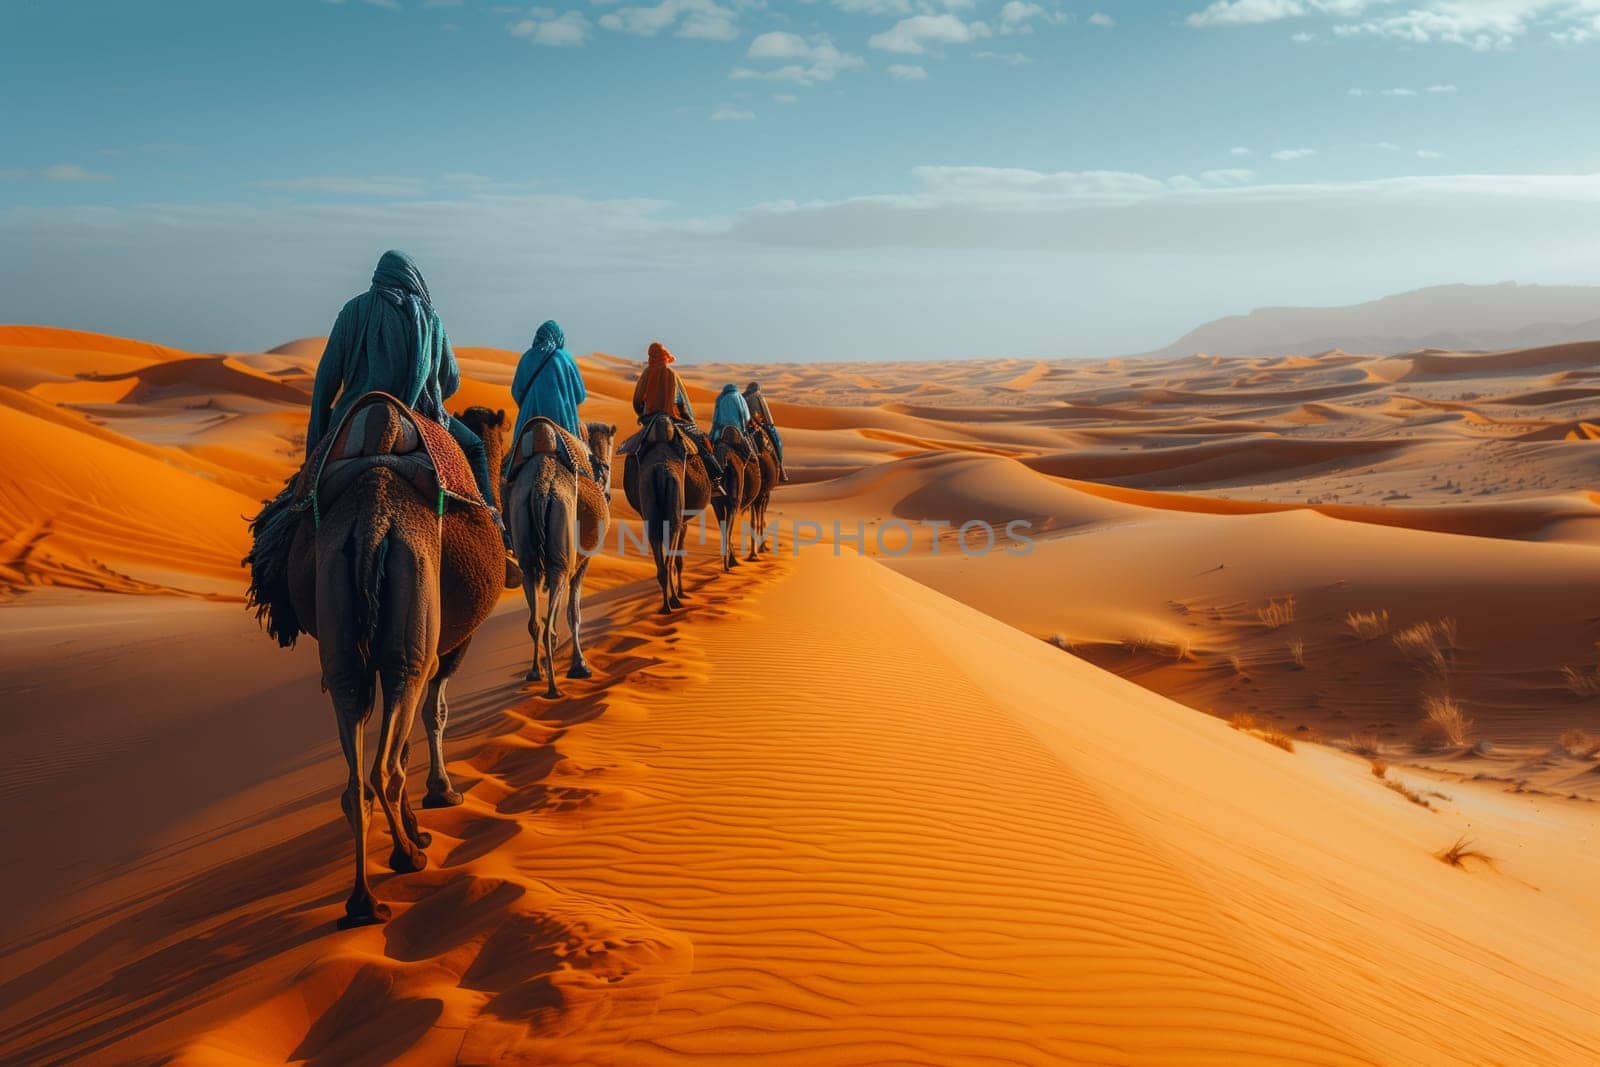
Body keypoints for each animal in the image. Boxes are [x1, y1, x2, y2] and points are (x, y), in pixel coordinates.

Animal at [284, 399, 508, 927]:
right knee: (386, 760)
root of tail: (372, 521)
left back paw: (363, 900)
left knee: (355, 767)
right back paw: (409, 857)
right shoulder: (452, 648)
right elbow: (434, 715)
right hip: (414, 631)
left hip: (342, 638)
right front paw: (442, 795)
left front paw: (417, 822)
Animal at [508, 415, 614, 700]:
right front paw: (580, 666)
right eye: (607, 465)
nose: (608, 492)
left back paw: (536, 672)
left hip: (527, 555)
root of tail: (541, 486)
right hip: (562, 560)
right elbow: (574, 613)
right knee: (551, 620)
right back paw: (553, 687)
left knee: (535, 618)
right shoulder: (583, 562)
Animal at [624, 415, 713, 617]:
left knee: (660, 554)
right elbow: (679, 559)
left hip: (650, 504)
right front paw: (682, 592)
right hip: (674, 506)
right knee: (671, 557)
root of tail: (660, 470)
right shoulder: (684, 522)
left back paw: (666, 605)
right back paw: (674, 601)